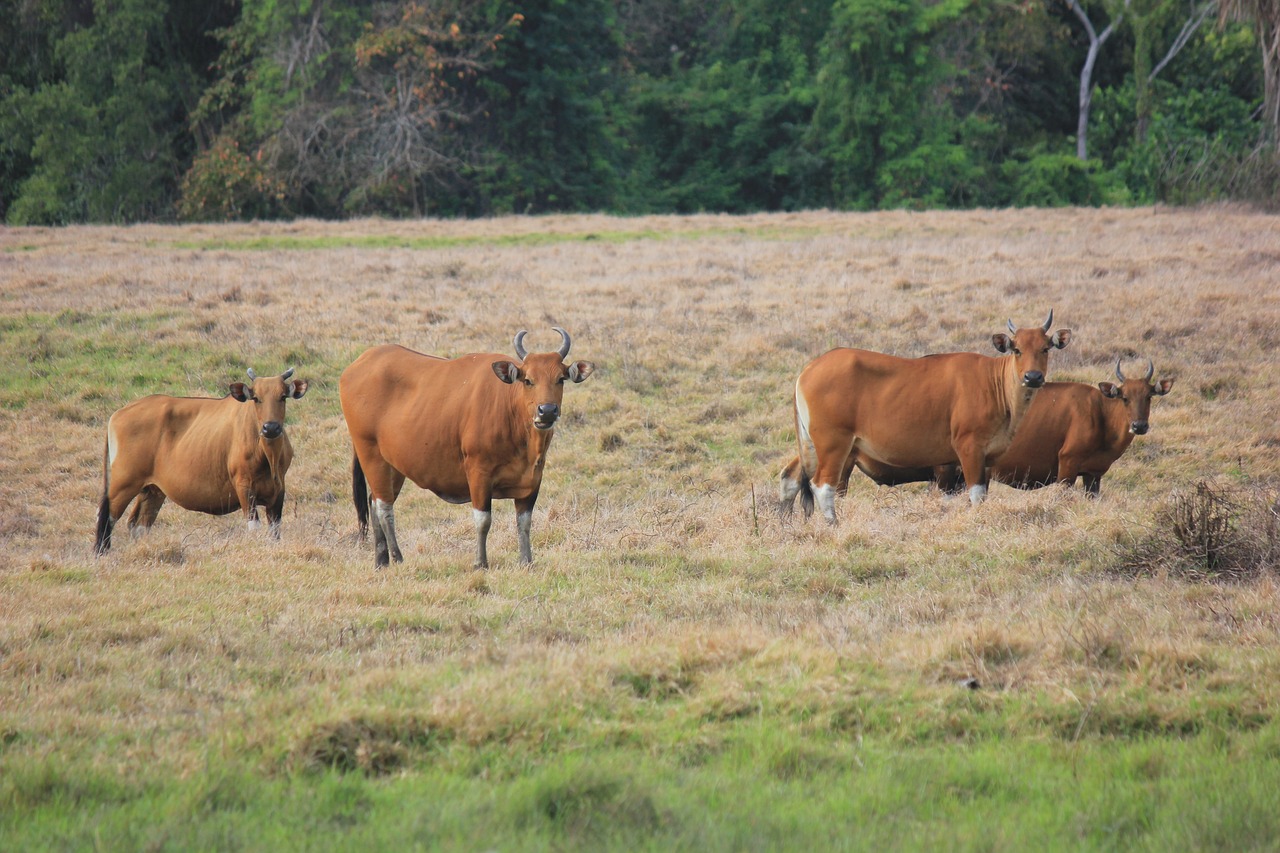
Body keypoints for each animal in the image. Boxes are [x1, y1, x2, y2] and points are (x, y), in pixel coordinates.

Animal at [94, 366, 309, 555]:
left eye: (283, 397)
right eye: (256, 398)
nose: (270, 428)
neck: (268, 456)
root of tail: (118, 414)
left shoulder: (278, 492)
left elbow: (275, 532)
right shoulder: (245, 488)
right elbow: (254, 527)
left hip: (152, 490)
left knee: (138, 525)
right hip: (123, 484)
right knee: (105, 518)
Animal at [343, 327, 596, 568]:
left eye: (560, 379)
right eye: (528, 380)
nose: (547, 411)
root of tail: (358, 363)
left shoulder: (533, 479)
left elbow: (524, 522)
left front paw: (526, 561)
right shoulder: (478, 473)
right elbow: (483, 520)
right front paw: (480, 562)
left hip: (393, 465)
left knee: (374, 501)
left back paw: (381, 560)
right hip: (370, 453)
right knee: (384, 507)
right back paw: (397, 556)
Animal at [778, 308, 1070, 522]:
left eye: (1045, 348)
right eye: (1016, 349)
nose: (1033, 377)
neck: (993, 383)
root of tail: (809, 369)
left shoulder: (985, 458)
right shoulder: (968, 450)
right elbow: (977, 495)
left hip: (812, 443)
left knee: (791, 475)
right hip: (835, 444)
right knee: (823, 486)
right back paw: (833, 524)